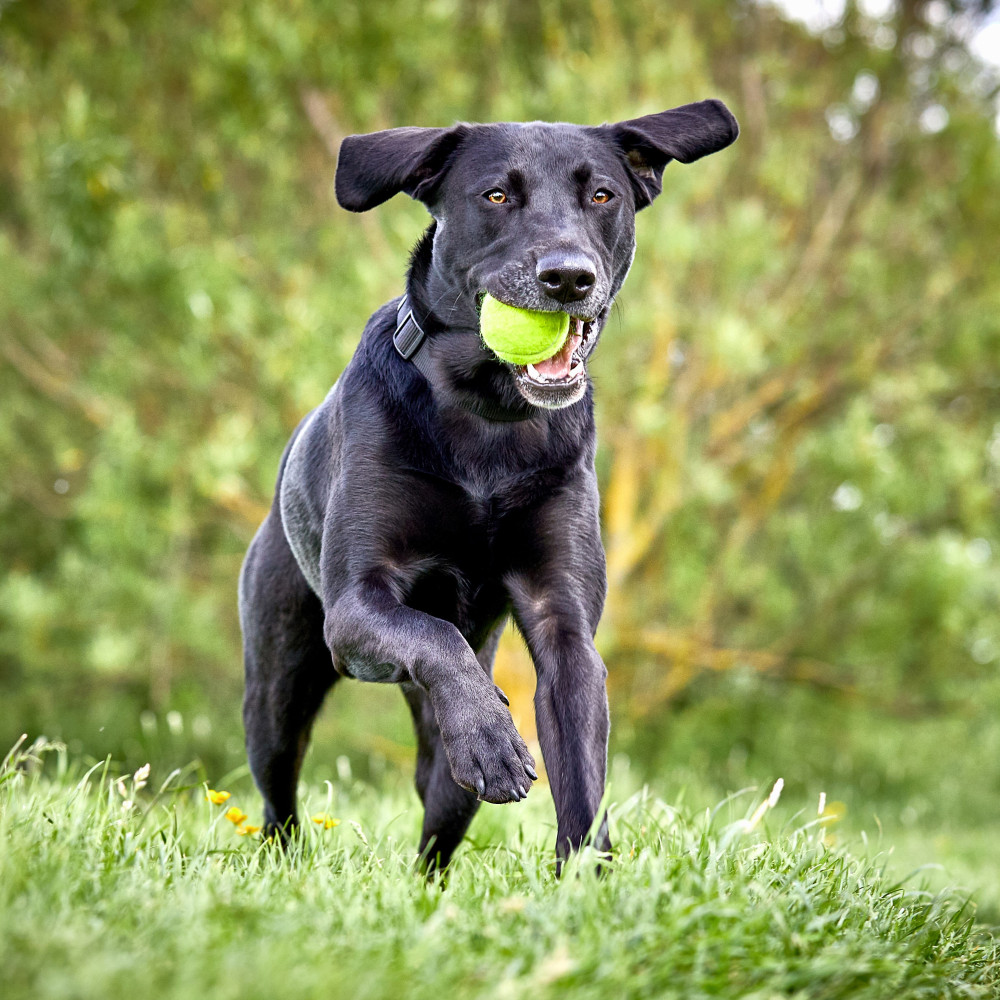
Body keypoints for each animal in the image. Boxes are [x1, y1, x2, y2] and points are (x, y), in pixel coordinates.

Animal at [238, 97, 740, 872]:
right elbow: (433, 632)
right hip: (278, 681)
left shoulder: (563, 619)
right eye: (497, 196)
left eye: (603, 196)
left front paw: (588, 879)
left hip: (437, 767)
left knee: (439, 815)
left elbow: (582, 771)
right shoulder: (355, 607)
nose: (568, 277)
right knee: (277, 791)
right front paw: (492, 740)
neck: (489, 414)